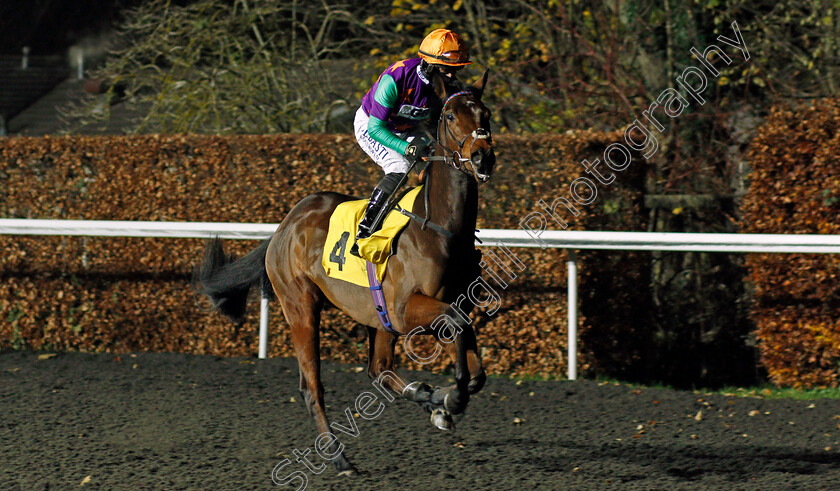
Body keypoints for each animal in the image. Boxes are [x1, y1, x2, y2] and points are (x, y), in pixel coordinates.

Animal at [194, 71, 496, 474]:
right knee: (312, 386)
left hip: (376, 315)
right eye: (449, 116)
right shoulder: (408, 309)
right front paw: (451, 399)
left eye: (486, 114)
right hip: (301, 306)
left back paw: (423, 396)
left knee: (379, 369)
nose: (482, 156)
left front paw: (441, 400)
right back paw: (339, 456)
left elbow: (474, 362)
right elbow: (459, 334)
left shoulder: (436, 305)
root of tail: (285, 226)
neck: (440, 228)